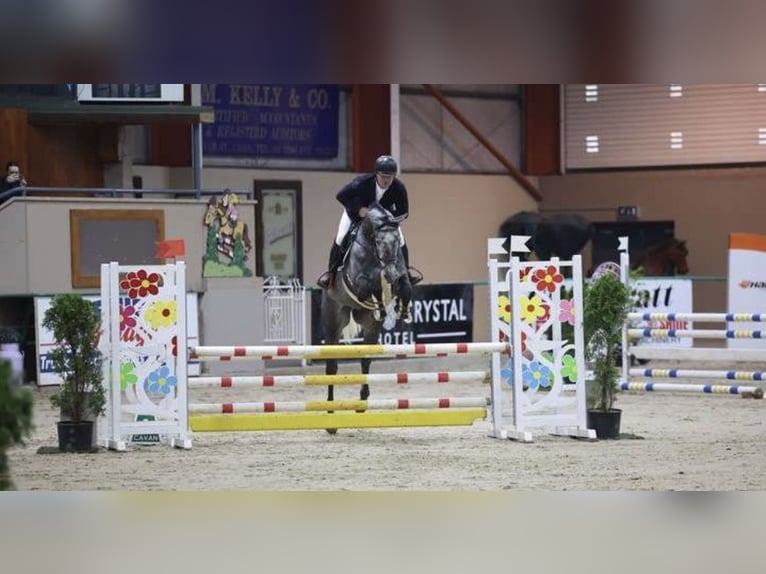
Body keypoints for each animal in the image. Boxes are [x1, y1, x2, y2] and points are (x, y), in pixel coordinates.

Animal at [320, 200, 414, 430]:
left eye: (397, 242)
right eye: (379, 241)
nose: (390, 273)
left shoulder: (400, 276)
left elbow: (405, 286)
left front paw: (401, 309)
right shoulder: (359, 282)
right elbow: (371, 283)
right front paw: (381, 297)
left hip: (370, 327)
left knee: (366, 360)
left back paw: (362, 403)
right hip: (333, 323)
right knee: (331, 367)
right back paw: (330, 415)